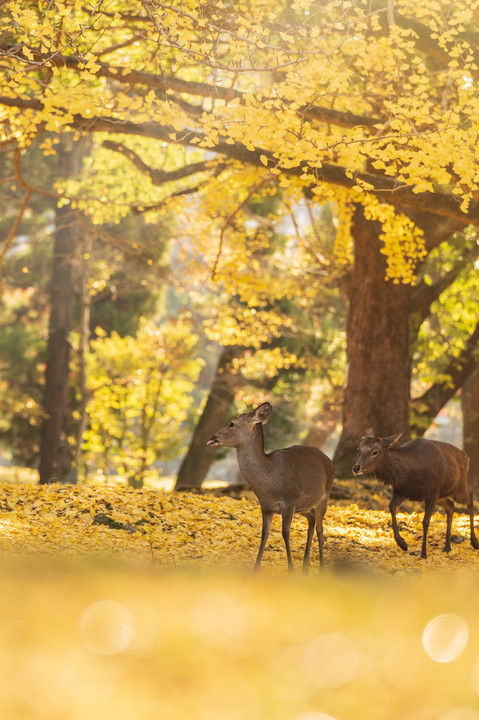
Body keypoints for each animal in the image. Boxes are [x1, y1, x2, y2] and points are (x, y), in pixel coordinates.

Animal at [206, 402, 334, 572]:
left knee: (320, 528)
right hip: (304, 507)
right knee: (312, 521)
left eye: (231, 423)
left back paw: (321, 568)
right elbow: (264, 533)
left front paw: (291, 569)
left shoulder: (289, 500)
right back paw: (305, 567)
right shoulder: (266, 506)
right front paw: (256, 568)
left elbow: (285, 532)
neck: (269, 485)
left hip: (324, 496)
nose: (212, 437)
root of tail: (329, 460)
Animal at [352, 430, 479, 560]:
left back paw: (474, 542)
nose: (356, 467)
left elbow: (425, 521)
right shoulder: (401, 491)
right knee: (451, 505)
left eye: (375, 451)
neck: (411, 474)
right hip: (442, 496)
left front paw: (423, 553)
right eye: (358, 450)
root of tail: (467, 457)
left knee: (470, 497)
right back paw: (447, 547)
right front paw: (402, 544)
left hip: (458, 487)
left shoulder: (432, 492)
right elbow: (391, 507)